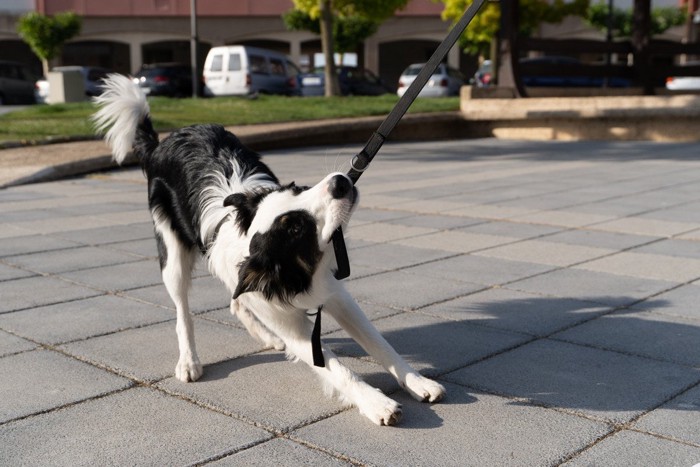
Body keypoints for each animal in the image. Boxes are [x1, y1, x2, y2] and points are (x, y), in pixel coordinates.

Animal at [93, 74, 442, 428]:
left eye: (298, 189)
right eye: (296, 228)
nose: (341, 181)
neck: (299, 274)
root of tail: (162, 142)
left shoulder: (334, 293)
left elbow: (378, 342)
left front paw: (418, 382)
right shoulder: (291, 321)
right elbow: (337, 370)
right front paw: (377, 403)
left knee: (236, 301)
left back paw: (266, 336)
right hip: (172, 257)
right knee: (183, 311)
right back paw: (189, 361)